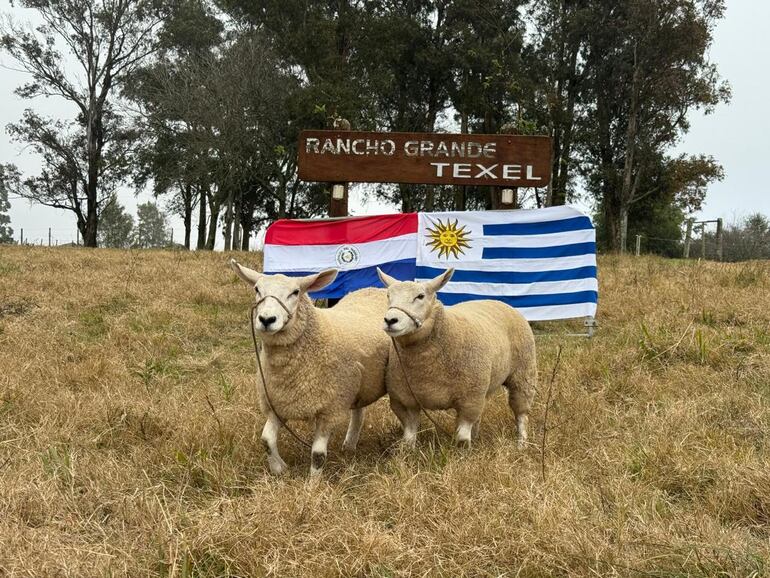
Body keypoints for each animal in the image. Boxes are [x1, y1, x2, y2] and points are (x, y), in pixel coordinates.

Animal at [230, 259, 390, 476]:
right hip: (358, 384)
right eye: (257, 289)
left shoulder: (329, 409)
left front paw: (313, 481)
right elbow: (266, 440)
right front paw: (279, 469)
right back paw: (349, 446)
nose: (266, 320)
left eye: (295, 292)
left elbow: (318, 454)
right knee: (359, 412)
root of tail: (374, 289)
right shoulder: (278, 403)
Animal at [376, 267, 537, 450]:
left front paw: (463, 453)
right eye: (388, 295)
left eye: (420, 296)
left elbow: (462, 438)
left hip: (523, 375)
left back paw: (522, 444)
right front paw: (407, 453)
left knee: (521, 414)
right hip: (486, 386)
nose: (390, 320)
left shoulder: (469, 400)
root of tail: (497, 301)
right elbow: (409, 438)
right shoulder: (404, 401)